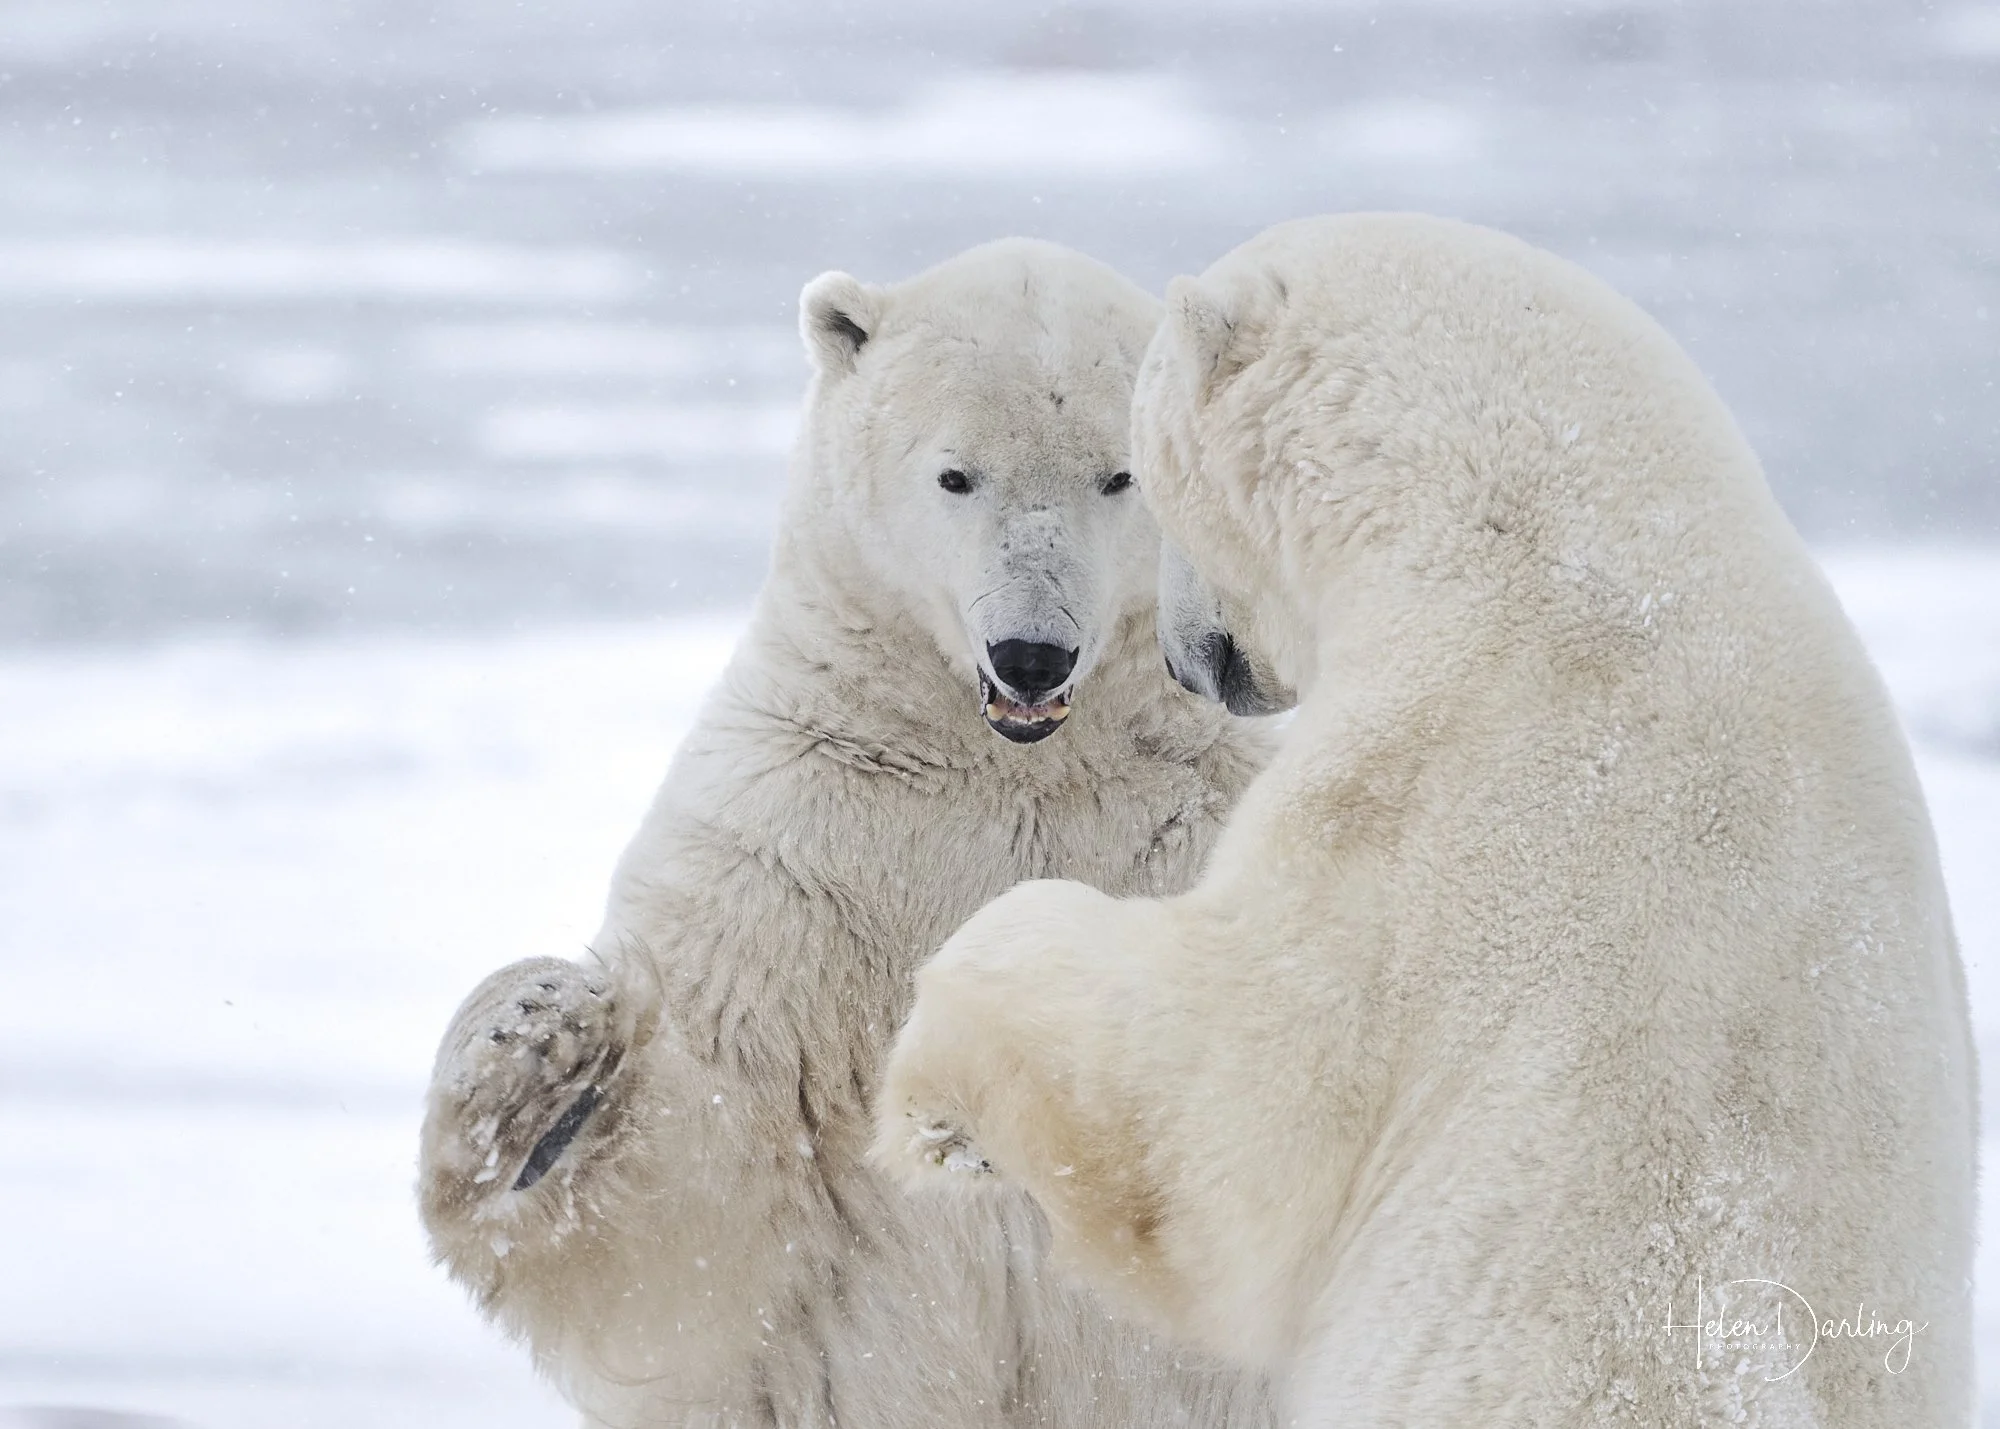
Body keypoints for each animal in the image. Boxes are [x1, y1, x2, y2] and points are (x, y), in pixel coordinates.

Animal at [417, 238, 1276, 1429]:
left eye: (1119, 476)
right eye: (955, 474)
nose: (1031, 654)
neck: (1012, 766)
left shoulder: (1207, 834)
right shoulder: (786, 852)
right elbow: (693, 1222)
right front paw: (534, 1039)